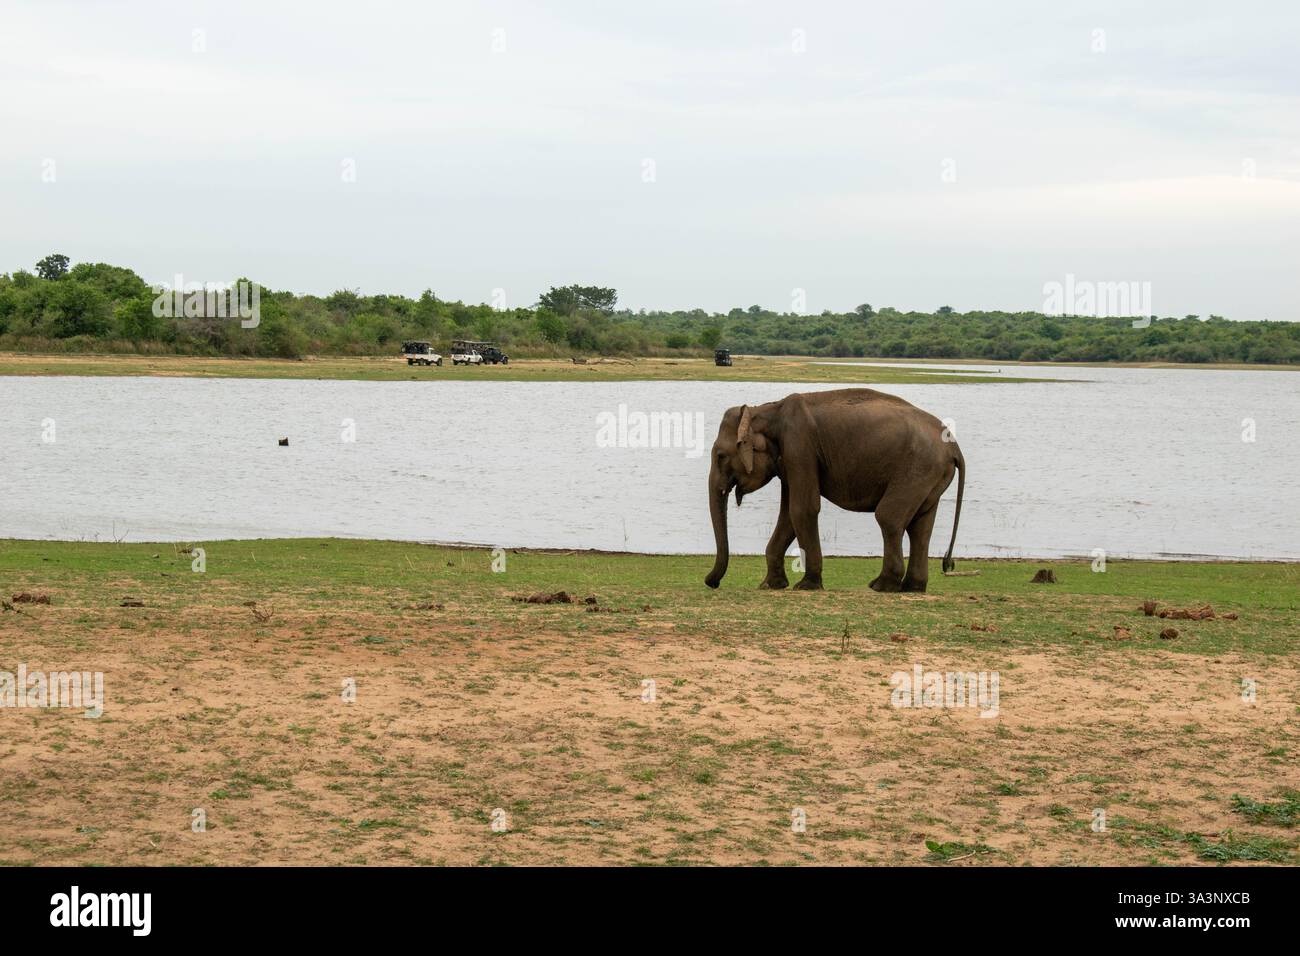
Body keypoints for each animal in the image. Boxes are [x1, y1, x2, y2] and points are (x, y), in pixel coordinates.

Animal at [704, 388, 965, 593]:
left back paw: (881, 586)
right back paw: (912, 587)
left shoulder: (799, 446)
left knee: (889, 518)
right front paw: (770, 585)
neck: (767, 409)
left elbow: (802, 509)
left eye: (720, 456)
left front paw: (806, 585)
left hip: (917, 470)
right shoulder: (788, 460)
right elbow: (788, 515)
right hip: (931, 477)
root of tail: (955, 448)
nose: (711, 583)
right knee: (921, 527)